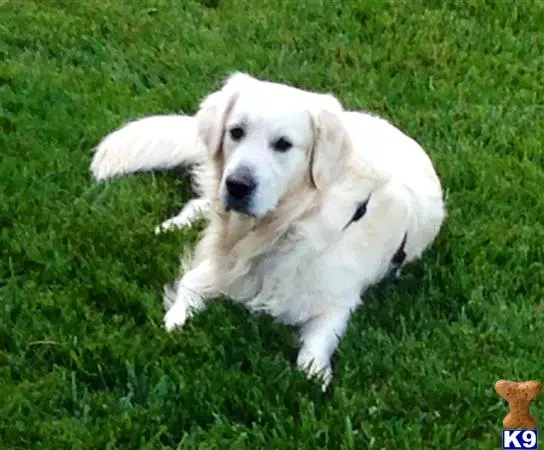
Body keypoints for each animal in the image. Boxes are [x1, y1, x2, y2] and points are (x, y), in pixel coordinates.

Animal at [90, 74, 446, 390]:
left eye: (283, 144)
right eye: (236, 132)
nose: (238, 185)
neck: (281, 227)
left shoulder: (336, 300)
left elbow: (317, 345)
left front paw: (314, 374)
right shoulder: (220, 264)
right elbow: (188, 288)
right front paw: (173, 322)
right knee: (200, 203)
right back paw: (171, 225)